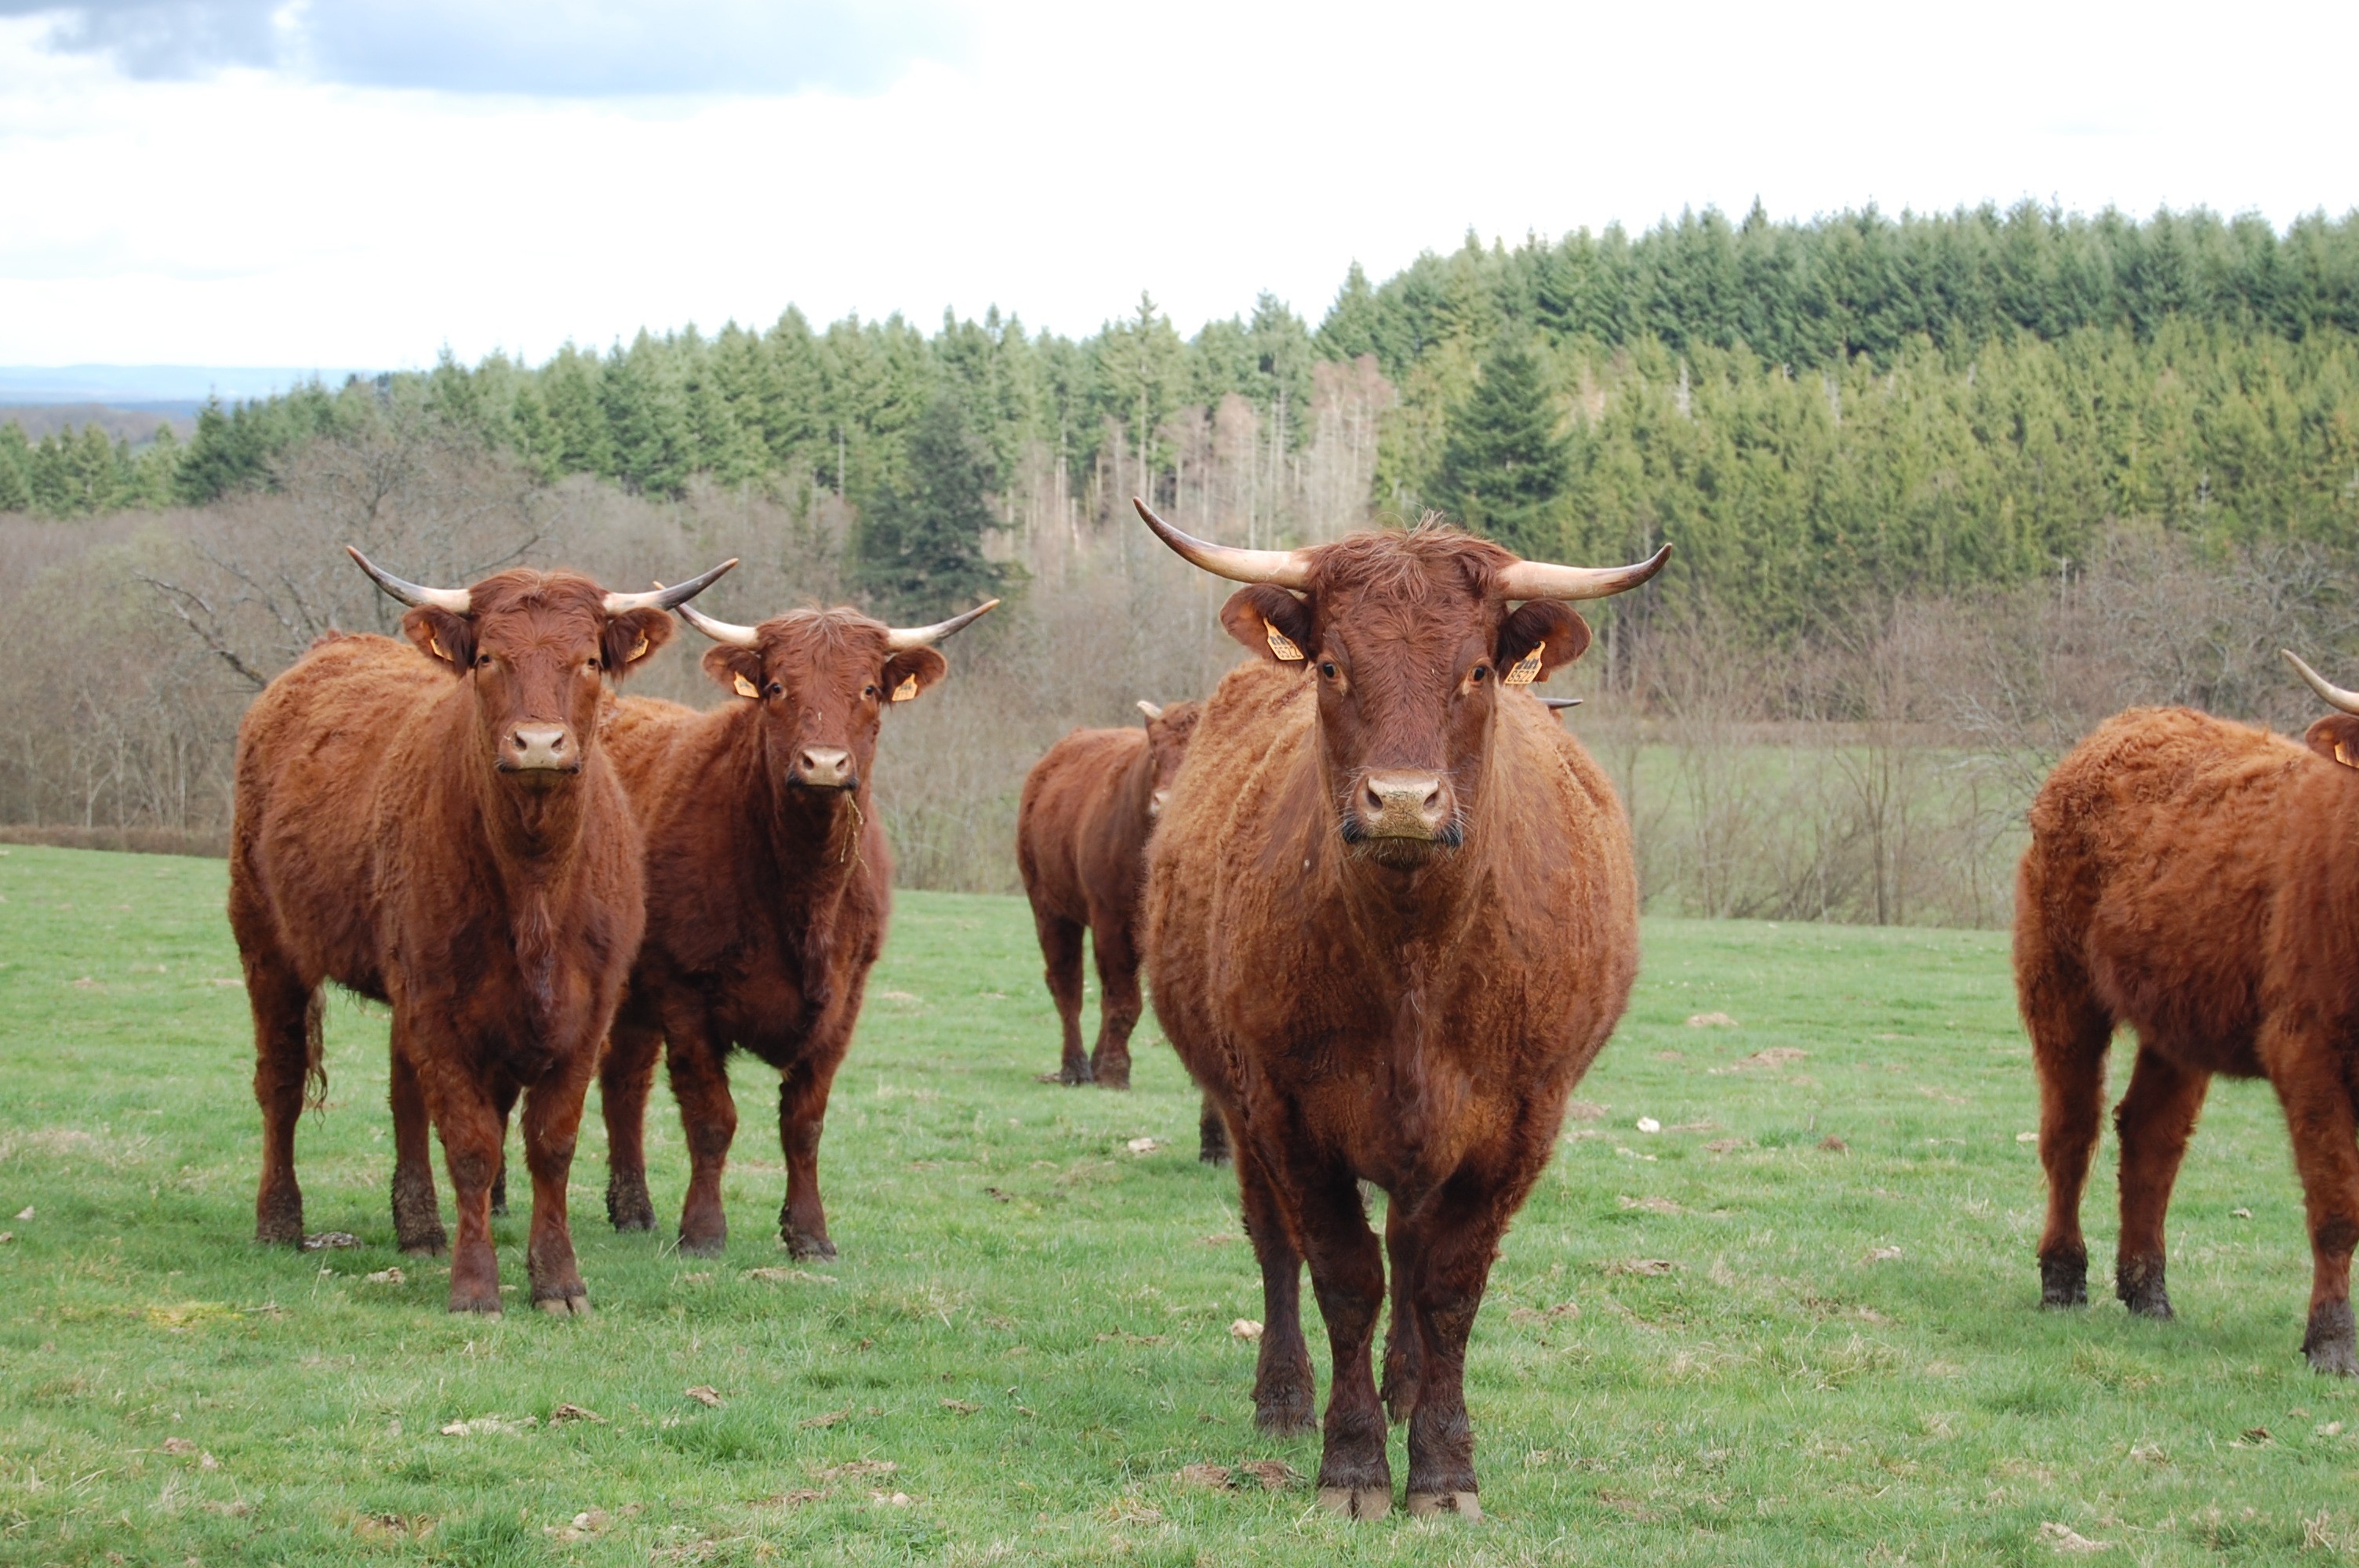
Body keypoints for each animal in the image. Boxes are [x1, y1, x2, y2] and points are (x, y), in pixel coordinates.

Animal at [231, 546, 731, 1311]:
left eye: (589, 660)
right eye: (490, 657)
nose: (539, 744)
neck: (535, 885)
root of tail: (332, 647)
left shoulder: (586, 1009)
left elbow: (551, 1143)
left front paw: (558, 1280)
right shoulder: (438, 1004)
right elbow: (471, 1144)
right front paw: (474, 1284)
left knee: (403, 1095)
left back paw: (418, 1228)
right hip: (266, 940)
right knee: (281, 1080)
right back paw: (280, 1220)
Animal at [599, 593, 995, 1254]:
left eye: (868, 688)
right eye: (779, 687)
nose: (825, 765)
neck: (802, 893)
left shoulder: (844, 1001)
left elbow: (805, 1123)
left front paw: (810, 1233)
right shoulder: (685, 994)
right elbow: (712, 1117)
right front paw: (703, 1231)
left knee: (623, 1082)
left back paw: (632, 1209)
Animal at [1014, 698, 1198, 1089]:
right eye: (1155, 753)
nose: (1166, 801)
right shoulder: (1112, 918)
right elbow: (1122, 999)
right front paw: (1114, 1070)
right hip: (1050, 908)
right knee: (1067, 986)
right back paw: (1075, 1065)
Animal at [1136, 502, 1660, 1518]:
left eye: (1478, 669)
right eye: (1332, 665)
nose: (1405, 802)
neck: (1413, 956)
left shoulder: (1516, 1125)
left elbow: (1446, 1288)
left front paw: (1444, 1468)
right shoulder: (1286, 1113)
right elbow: (1343, 1276)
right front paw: (1350, 1464)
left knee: (1412, 1257)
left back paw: (1407, 1387)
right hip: (1240, 1108)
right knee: (1277, 1244)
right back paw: (1283, 1397)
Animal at [2009, 646, 2359, 1367]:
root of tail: (2128, 721)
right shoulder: (2309, 1049)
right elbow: (2338, 1208)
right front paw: (2333, 1342)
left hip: (2178, 1019)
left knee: (2150, 1137)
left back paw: (2148, 1291)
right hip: (2061, 988)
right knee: (2070, 1133)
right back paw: (2063, 1278)